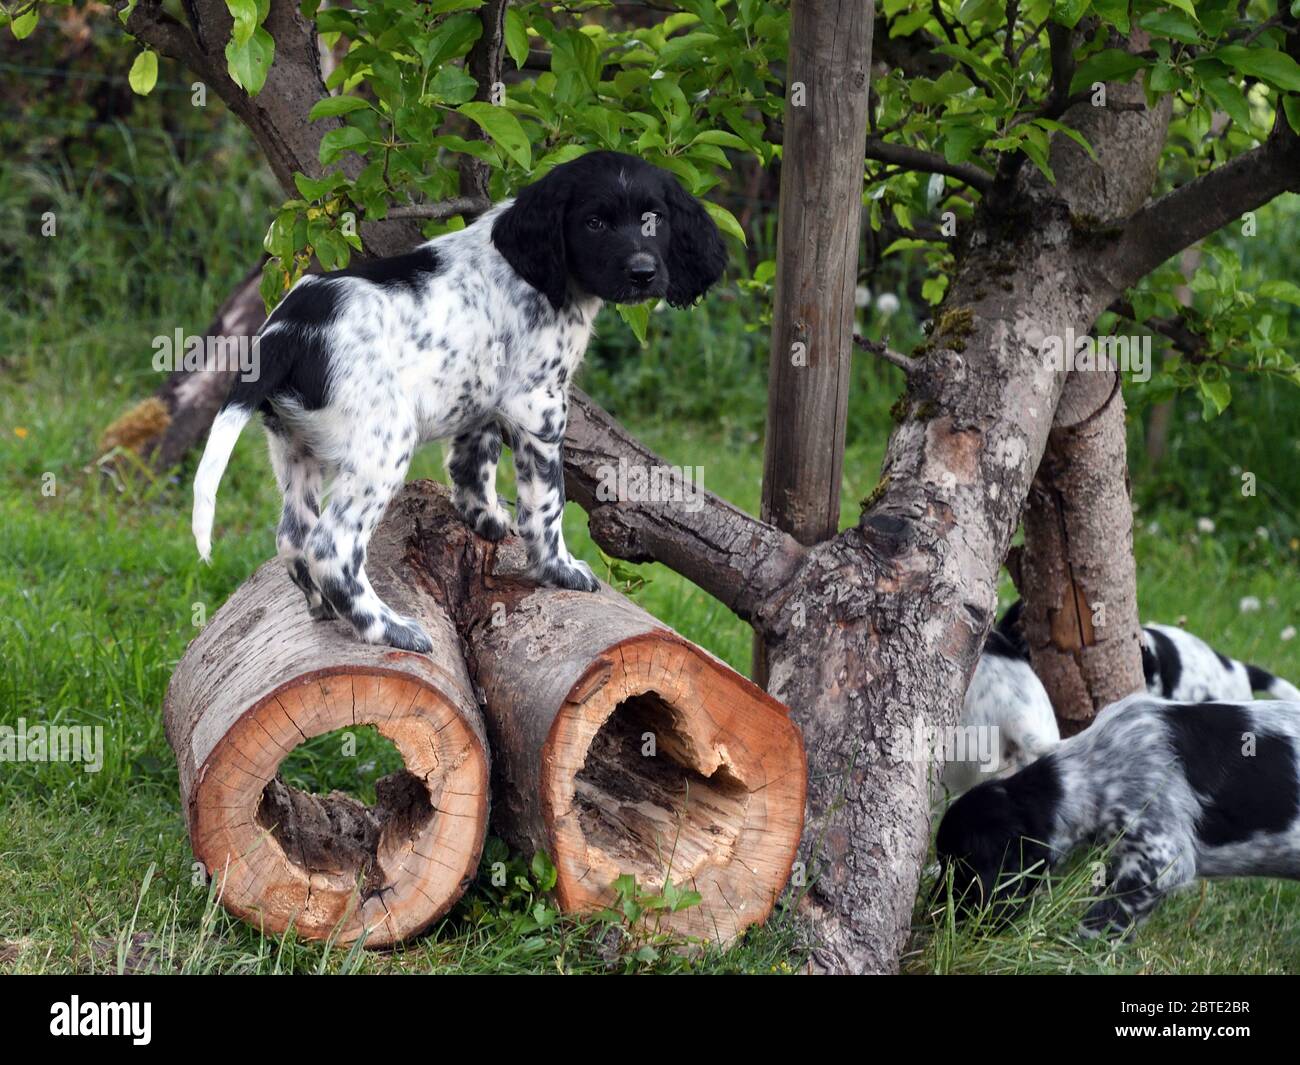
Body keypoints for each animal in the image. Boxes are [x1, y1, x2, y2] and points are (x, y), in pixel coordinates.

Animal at [189, 150, 728, 650]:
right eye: (594, 223)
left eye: (654, 219)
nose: (643, 272)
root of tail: (287, 330)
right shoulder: (539, 405)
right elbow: (547, 502)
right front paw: (559, 568)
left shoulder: (481, 397)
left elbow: (474, 462)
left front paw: (484, 518)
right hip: (382, 447)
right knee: (330, 548)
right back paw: (387, 628)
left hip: (294, 446)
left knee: (293, 538)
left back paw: (323, 608)